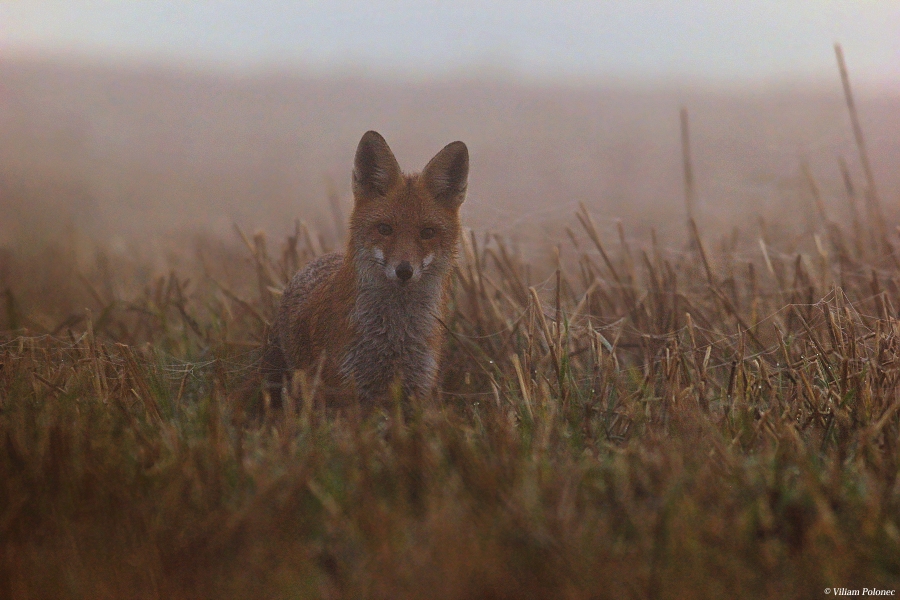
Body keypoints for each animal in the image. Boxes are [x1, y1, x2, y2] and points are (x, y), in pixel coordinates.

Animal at [258, 131, 472, 410]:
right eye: (384, 229)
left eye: (427, 232)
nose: (404, 271)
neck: (394, 338)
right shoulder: (346, 391)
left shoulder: (418, 388)